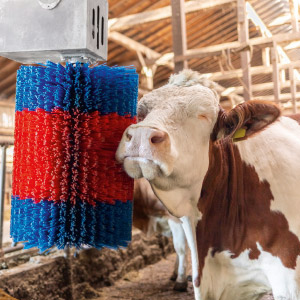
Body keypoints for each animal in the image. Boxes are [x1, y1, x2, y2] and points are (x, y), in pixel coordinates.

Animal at [115, 69, 300, 298]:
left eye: (203, 116)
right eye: (142, 113)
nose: (141, 134)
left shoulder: (288, 278)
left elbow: (179, 247)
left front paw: (178, 280)